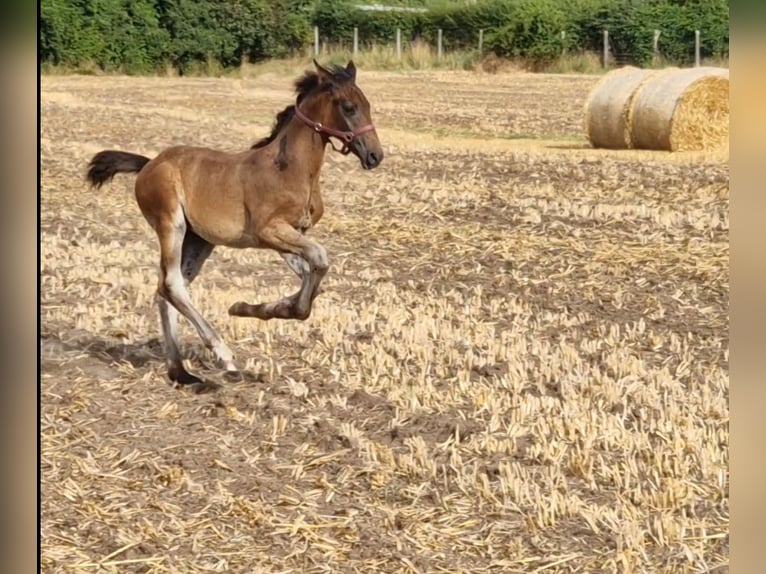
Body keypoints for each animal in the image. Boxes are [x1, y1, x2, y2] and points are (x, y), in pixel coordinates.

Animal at [86, 60, 384, 388]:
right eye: (349, 107)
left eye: (368, 105)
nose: (375, 155)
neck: (290, 169)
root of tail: (148, 164)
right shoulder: (269, 231)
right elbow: (319, 259)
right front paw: (255, 309)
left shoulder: (289, 235)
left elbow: (310, 277)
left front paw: (255, 308)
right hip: (170, 223)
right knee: (171, 283)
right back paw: (222, 355)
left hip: (200, 240)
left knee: (167, 289)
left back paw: (180, 372)